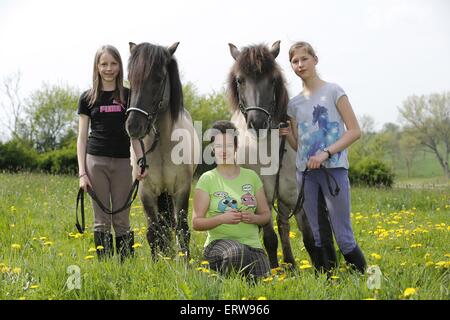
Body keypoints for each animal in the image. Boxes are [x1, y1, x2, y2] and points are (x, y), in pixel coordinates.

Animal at [125, 42, 198, 258]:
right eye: (130, 78)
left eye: (158, 79)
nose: (133, 126)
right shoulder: (146, 192)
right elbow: (154, 232)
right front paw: (158, 261)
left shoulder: (182, 189)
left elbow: (182, 229)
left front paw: (184, 262)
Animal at [227, 40, 336, 270]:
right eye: (240, 80)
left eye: (273, 80)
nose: (258, 123)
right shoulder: (264, 197)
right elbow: (270, 238)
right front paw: (274, 270)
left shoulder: (297, 195)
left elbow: (309, 236)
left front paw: (320, 270)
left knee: (285, 225)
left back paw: (292, 264)